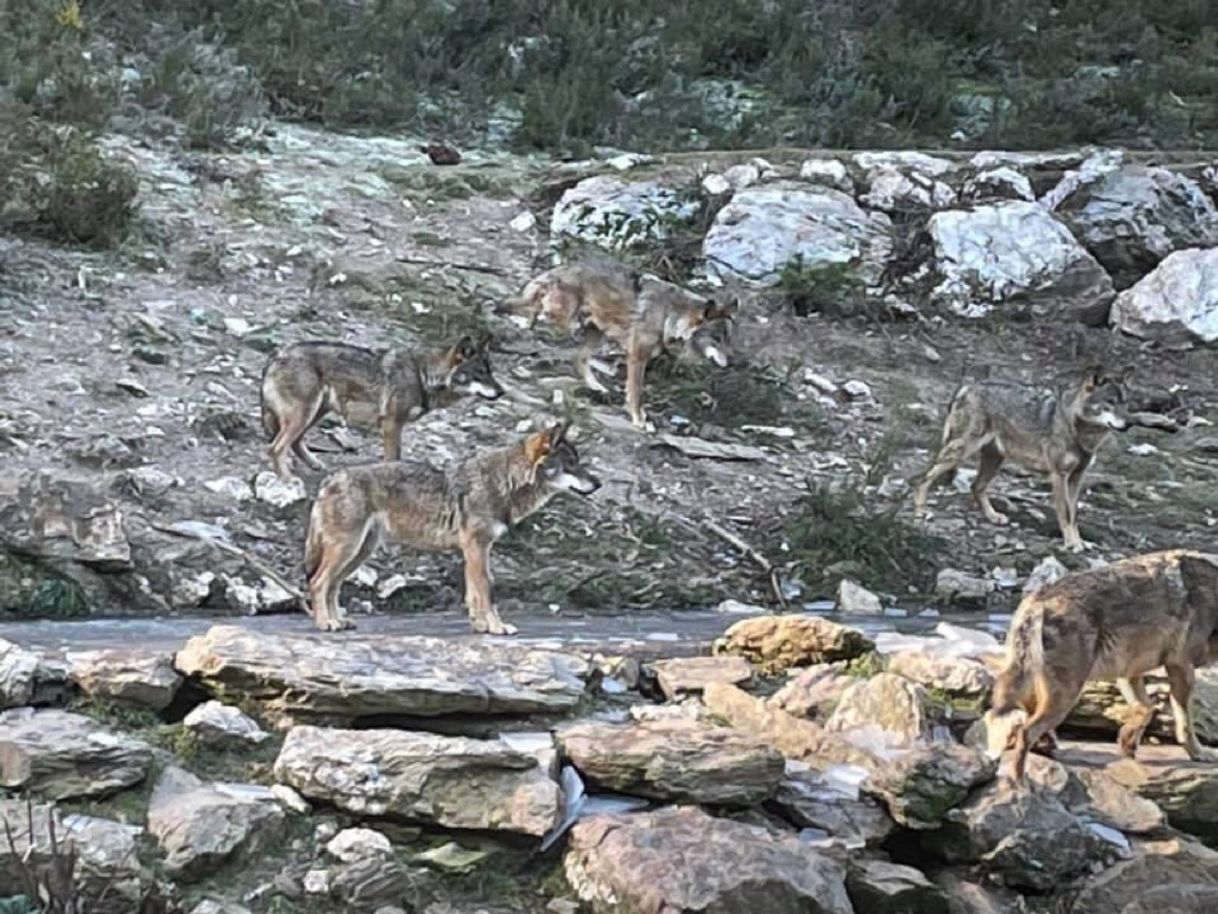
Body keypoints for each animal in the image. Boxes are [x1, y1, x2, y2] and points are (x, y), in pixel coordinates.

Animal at [302, 424, 601, 633]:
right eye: (571, 464)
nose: (598, 484)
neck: (504, 482)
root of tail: (329, 480)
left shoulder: (473, 551)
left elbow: (474, 595)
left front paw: (481, 626)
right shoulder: (477, 548)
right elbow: (488, 591)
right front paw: (497, 627)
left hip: (359, 552)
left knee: (332, 585)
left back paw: (338, 621)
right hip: (347, 549)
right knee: (318, 582)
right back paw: (325, 623)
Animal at [499, 258, 735, 428]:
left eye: (728, 340)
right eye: (717, 339)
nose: (731, 362)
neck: (670, 315)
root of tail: (559, 269)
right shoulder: (638, 356)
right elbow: (636, 392)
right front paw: (638, 419)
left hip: (594, 332)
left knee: (577, 357)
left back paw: (596, 386)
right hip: (563, 320)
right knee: (535, 308)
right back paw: (517, 318)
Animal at [915, 368, 1130, 555]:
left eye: (1125, 403)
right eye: (1110, 402)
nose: (1129, 423)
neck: (1078, 430)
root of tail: (968, 386)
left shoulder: (1077, 478)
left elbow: (1074, 515)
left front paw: (1079, 541)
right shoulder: (1059, 476)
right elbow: (1066, 514)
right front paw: (1071, 544)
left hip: (994, 460)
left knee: (975, 486)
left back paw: (993, 516)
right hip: (961, 451)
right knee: (924, 478)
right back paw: (920, 511)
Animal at [984, 550, 1218, 789]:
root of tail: (1038, 603)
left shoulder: (1129, 671)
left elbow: (1146, 708)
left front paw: (1127, 743)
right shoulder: (1182, 667)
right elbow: (1184, 723)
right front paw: (1199, 754)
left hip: (1033, 689)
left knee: (1000, 719)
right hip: (1066, 695)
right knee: (1025, 731)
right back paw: (1020, 783)